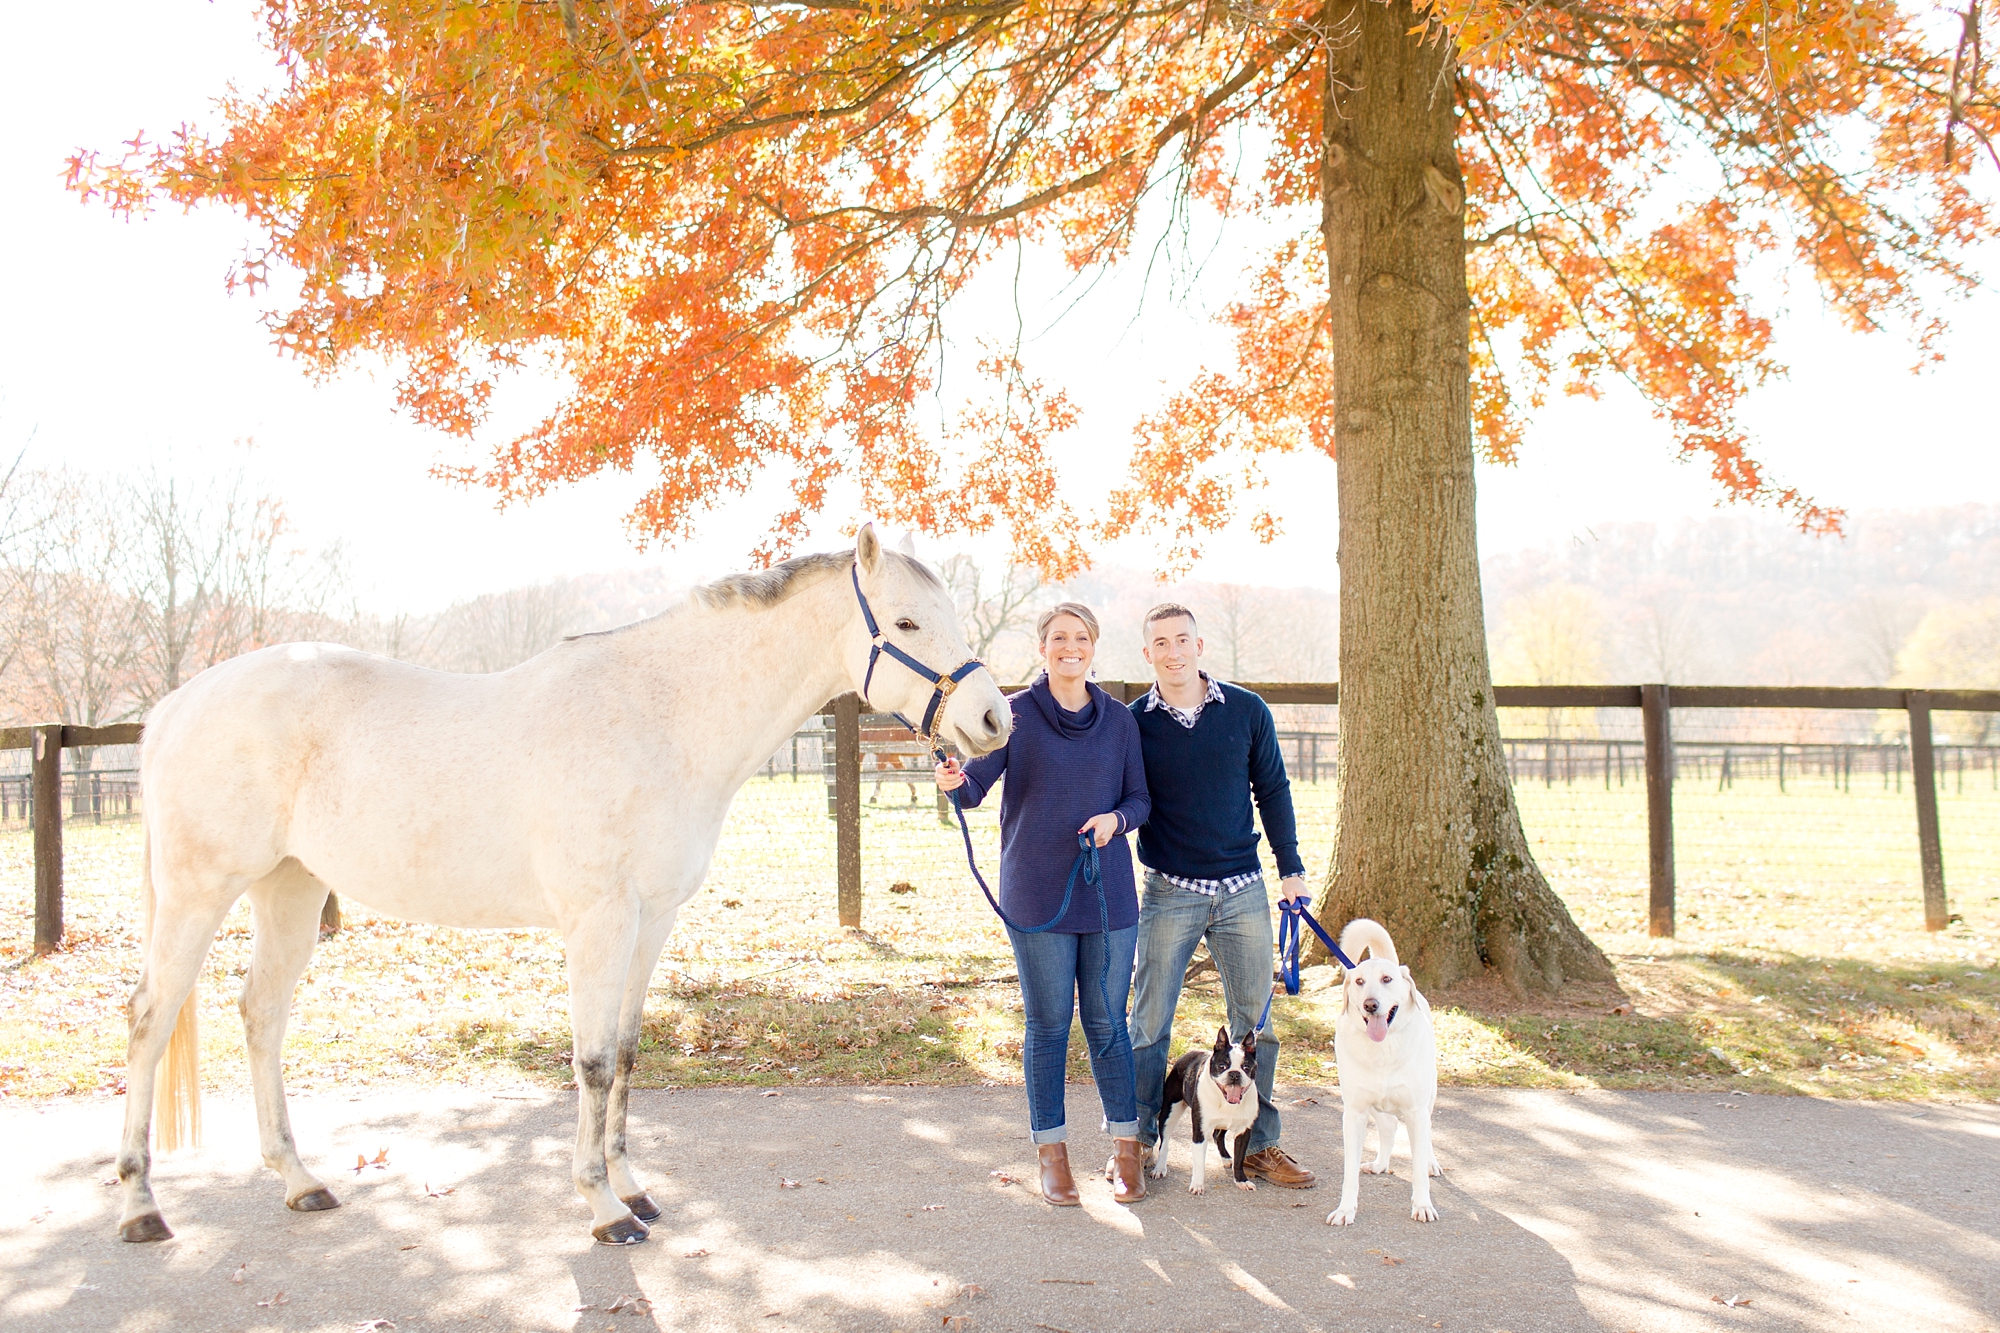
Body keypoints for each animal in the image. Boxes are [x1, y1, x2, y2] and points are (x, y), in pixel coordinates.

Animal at [117, 528, 1008, 1248]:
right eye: (905, 623)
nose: (994, 719)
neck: (661, 717)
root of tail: (174, 707)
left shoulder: (651, 922)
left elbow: (627, 1051)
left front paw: (634, 1189)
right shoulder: (599, 923)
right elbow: (591, 1061)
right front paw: (602, 1209)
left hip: (290, 890)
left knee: (261, 1015)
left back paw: (300, 1181)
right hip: (200, 891)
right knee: (151, 1019)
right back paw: (139, 1205)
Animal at [1152, 1020, 1256, 1184]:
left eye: (1246, 1067)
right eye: (1222, 1066)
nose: (1234, 1074)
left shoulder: (1243, 1131)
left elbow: (1239, 1158)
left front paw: (1241, 1181)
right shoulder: (1199, 1131)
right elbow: (1199, 1161)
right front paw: (1197, 1185)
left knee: (1218, 1135)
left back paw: (1225, 1157)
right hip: (1169, 1114)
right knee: (1164, 1142)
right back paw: (1160, 1168)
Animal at [1328, 920, 1440, 1216]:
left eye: (1387, 980)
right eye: (1359, 981)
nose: (1371, 1005)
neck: (1383, 1048)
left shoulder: (1415, 1111)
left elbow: (1417, 1169)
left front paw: (1423, 1205)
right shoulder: (1354, 1113)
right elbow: (1349, 1173)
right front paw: (1345, 1210)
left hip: (1429, 1097)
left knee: (1427, 1132)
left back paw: (1430, 1162)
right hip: (1375, 1104)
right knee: (1389, 1125)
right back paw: (1380, 1164)